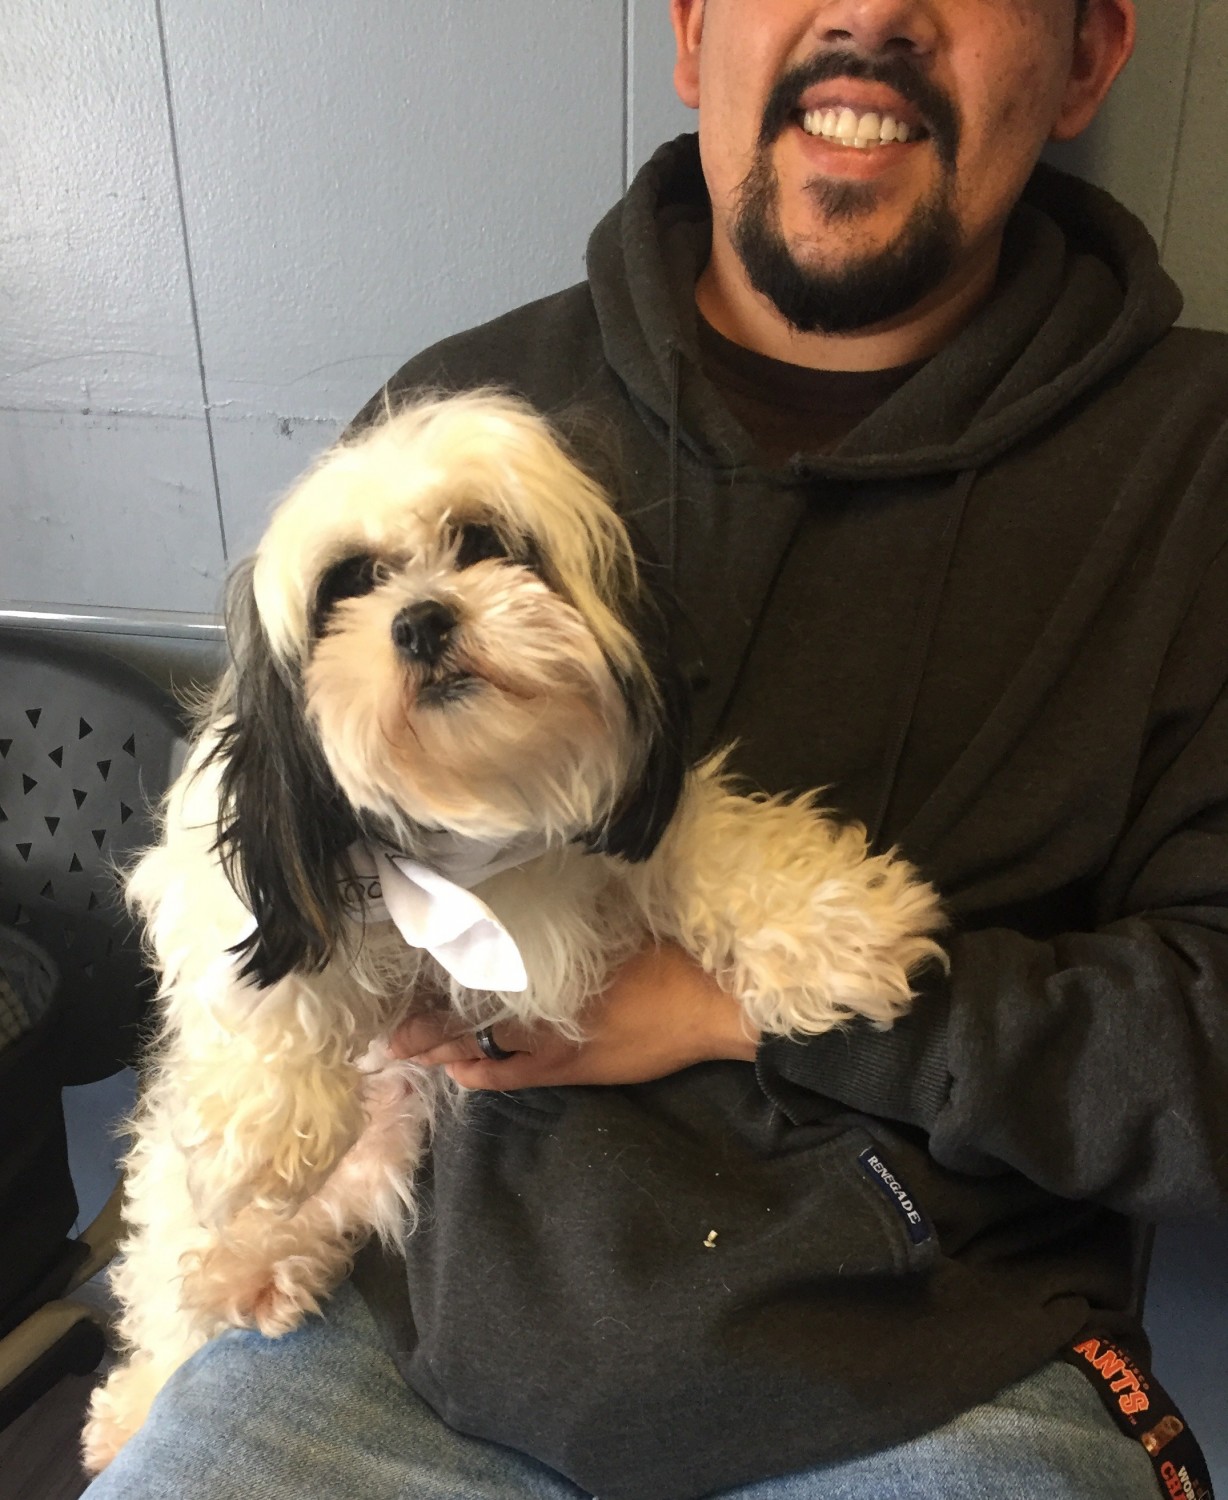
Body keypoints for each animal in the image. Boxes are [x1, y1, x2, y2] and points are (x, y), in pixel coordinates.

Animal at [81, 393, 947, 1470]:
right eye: (350, 585)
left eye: (485, 543)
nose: (420, 619)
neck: (474, 820)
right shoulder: (239, 865)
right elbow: (269, 974)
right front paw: (267, 1116)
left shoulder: (624, 823)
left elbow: (711, 847)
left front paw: (836, 926)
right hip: (190, 1198)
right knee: (171, 1277)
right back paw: (158, 1369)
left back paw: (257, 1276)